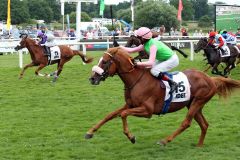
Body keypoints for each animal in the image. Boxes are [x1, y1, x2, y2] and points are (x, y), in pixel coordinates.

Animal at [87, 46, 240, 146]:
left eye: (104, 62)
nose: (92, 79)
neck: (137, 80)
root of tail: (210, 79)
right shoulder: (130, 104)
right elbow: (111, 114)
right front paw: (90, 132)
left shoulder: (147, 111)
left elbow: (123, 114)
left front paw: (131, 137)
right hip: (193, 104)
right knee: (204, 124)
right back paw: (199, 145)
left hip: (198, 101)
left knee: (186, 123)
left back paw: (165, 140)